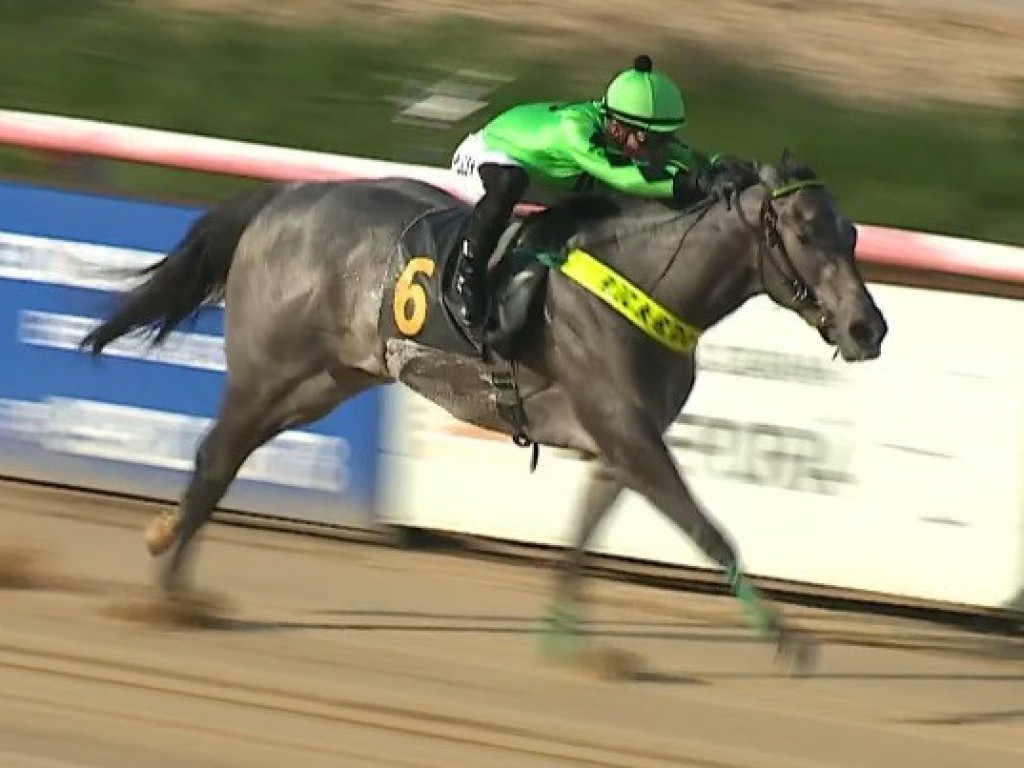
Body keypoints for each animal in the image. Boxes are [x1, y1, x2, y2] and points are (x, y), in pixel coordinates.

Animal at [81, 150, 888, 671]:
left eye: (852, 234)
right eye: (805, 232)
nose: (868, 328)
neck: (643, 281)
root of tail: (284, 197)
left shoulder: (622, 442)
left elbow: (581, 537)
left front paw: (565, 640)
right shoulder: (627, 432)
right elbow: (709, 530)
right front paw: (788, 639)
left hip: (328, 380)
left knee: (224, 458)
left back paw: (168, 549)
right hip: (269, 368)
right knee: (219, 454)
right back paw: (169, 589)